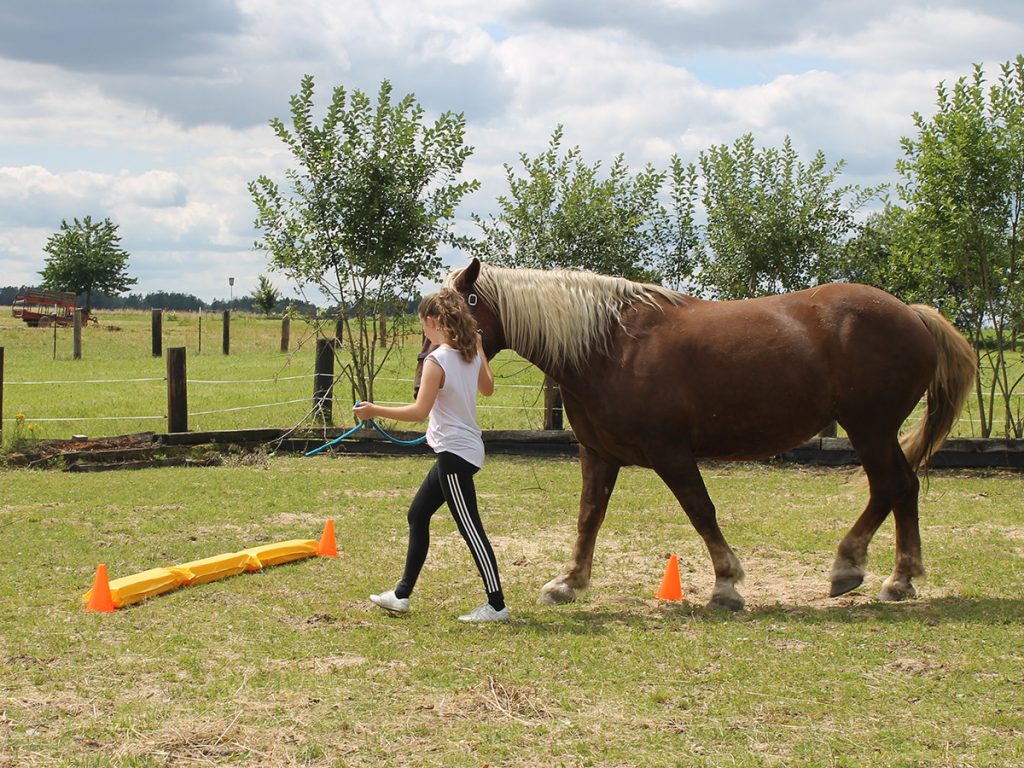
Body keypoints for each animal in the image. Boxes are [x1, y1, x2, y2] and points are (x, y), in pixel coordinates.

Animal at [417, 260, 974, 614]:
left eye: (455, 309)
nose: (429, 367)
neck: (608, 346)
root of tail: (912, 312)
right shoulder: (598, 453)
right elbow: (589, 517)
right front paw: (568, 584)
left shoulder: (671, 453)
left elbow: (700, 511)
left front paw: (726, 586)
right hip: (873, 430)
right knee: (901, 488)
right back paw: (896, 578)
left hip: (869, 427)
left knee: (892, 486)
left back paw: (859, 570)